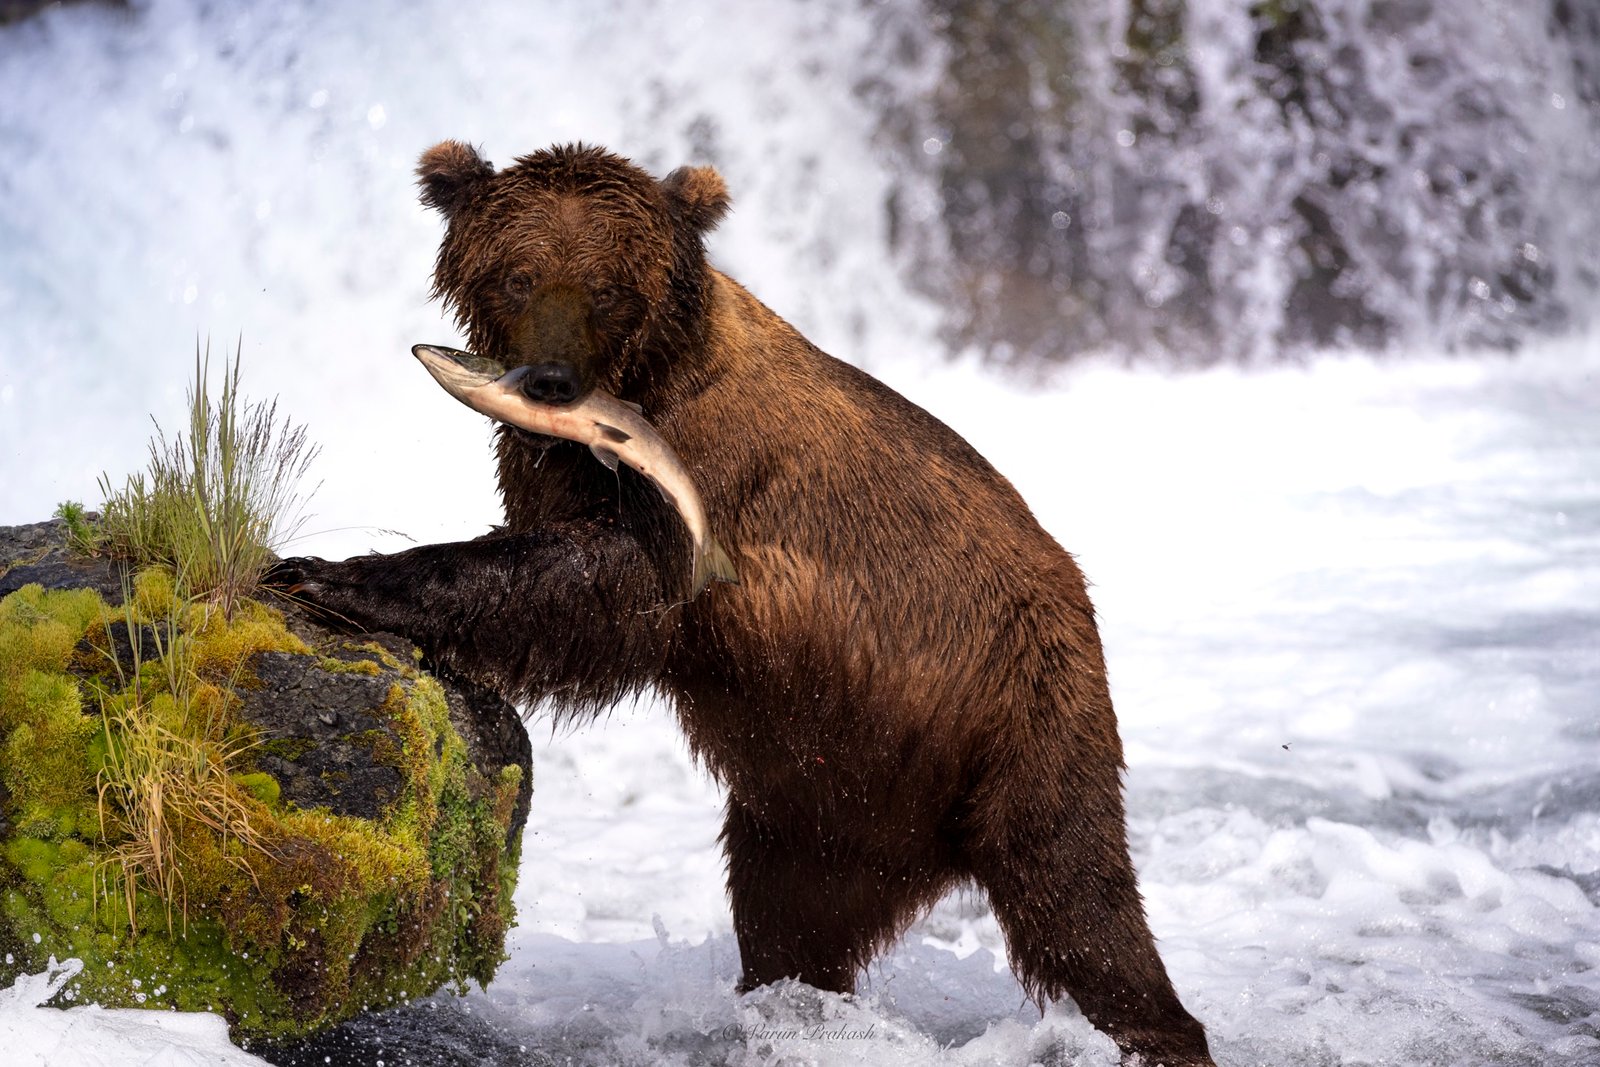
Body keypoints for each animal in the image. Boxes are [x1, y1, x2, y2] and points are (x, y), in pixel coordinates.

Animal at [268, 141, 1214, 1066]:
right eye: (517, 275)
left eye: (606, 286)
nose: (549, 381)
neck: (645, 380)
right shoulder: (552, 467)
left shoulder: (703, 475)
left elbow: (602, 588)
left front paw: (331, 573)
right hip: (822, 793)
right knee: (790, 916)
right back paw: (795, 1011)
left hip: (1018, 716)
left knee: (1074, 898)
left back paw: (1155, 1028)